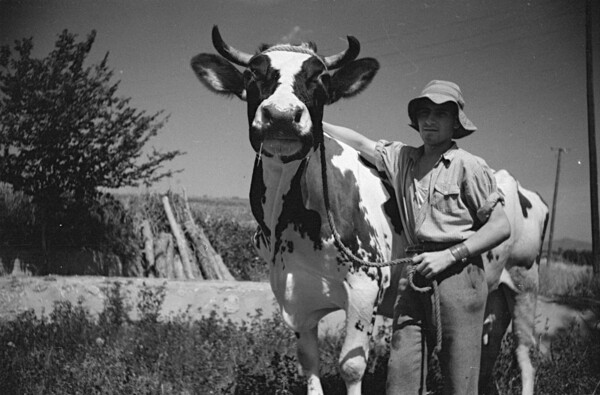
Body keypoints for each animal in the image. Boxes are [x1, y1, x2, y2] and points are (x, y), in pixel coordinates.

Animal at [191, 25, 548, 395]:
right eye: (253, 75)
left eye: (319, 78)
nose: (281, 116)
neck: (285, 221)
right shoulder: (294, 295)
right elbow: (309, 363)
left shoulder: (364, 286)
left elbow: (351, 366)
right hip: (495, 294)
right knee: (488, 348)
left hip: (526, 279)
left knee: (524, 350)